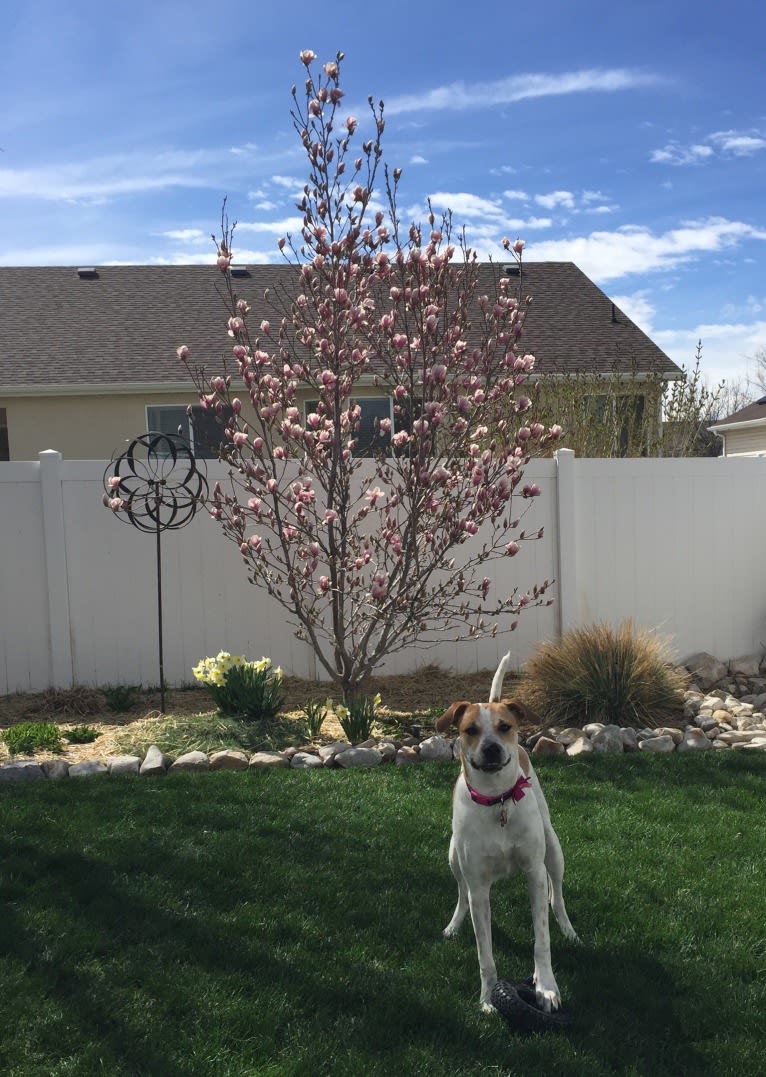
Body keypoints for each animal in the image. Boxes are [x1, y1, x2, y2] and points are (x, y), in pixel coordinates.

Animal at [435, 650, 577, 1012]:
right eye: (470, 730)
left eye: (504, 727)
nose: (491, 748)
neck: (497, 799)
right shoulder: (478, 885)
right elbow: (484, 953)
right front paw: (488, 997)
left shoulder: (534, 872)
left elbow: (542, 939)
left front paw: (547, 987)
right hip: (453, 856)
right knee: (461, 894)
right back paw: (453, 925)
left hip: (553, 848)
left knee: (557, 895)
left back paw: (569, 929)